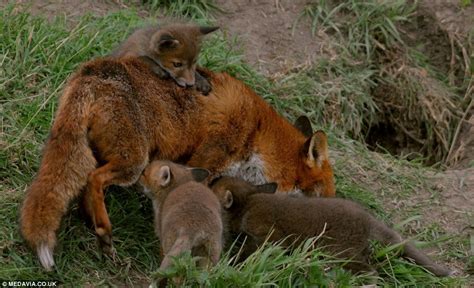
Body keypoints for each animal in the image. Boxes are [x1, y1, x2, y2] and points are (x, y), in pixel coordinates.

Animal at [20, 56, 336, 270]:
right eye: (327, 197)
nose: (319, 244)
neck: (258, 135)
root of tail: (92, 70)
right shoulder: (209, 159)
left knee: (86, 183)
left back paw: (92, 221)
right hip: (134, 161)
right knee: (94, 178)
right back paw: (104, 231)